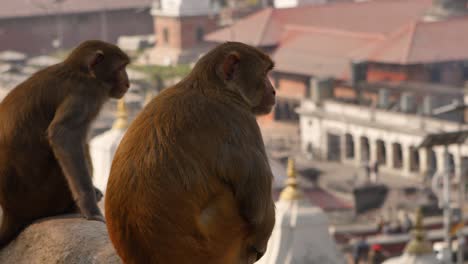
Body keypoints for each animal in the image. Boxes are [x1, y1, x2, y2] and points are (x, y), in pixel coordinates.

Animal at [0, 39, 130, 248]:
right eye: (120, 68)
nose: (128, 83)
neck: (80, 72)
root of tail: (11, 211)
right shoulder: (85, 94)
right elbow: (63, 135)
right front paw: (90, 208)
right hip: (46, 197)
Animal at [104, 41, 276, 264]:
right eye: (264, 73)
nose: (273, 91)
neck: (214, 88)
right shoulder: (240, 121)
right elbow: (255, 206)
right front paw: (261, 240)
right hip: (221, 238)